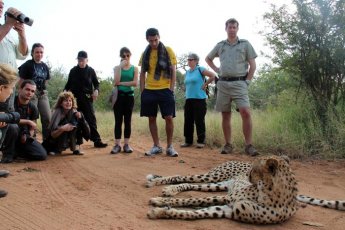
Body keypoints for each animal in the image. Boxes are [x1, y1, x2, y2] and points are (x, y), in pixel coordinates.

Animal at [146, 155, 344, 224]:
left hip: (218, 184)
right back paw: (158, 182)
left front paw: (160, 211)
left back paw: (168, 188)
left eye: (256, 168)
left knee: (192, 185)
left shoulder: (229, 209)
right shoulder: (230, 199)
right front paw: (160, 202)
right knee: (184, 176)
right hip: (214, 177)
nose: (248, 175)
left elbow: (195, 212)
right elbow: (192, 200)